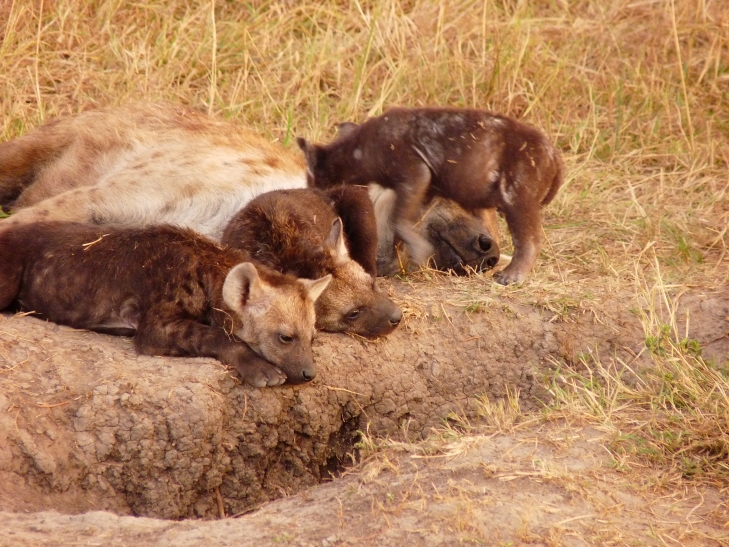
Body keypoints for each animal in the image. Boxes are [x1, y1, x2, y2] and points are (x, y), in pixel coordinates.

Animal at [0, 221, 331, 388]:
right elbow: (214, 335)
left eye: (313, 338)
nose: (309, 373)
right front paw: (263, 371)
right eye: (285, 337)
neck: (205, 268)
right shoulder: (158, 317)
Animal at [297, 107, 564, 284]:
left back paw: (510, 276)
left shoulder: (414, 174)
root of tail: (555, 153)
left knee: (529, 240)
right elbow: (405, 223)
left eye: (313, 181)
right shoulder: (423, 186)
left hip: (517, 197)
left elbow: (401, 222)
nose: (490, 255)